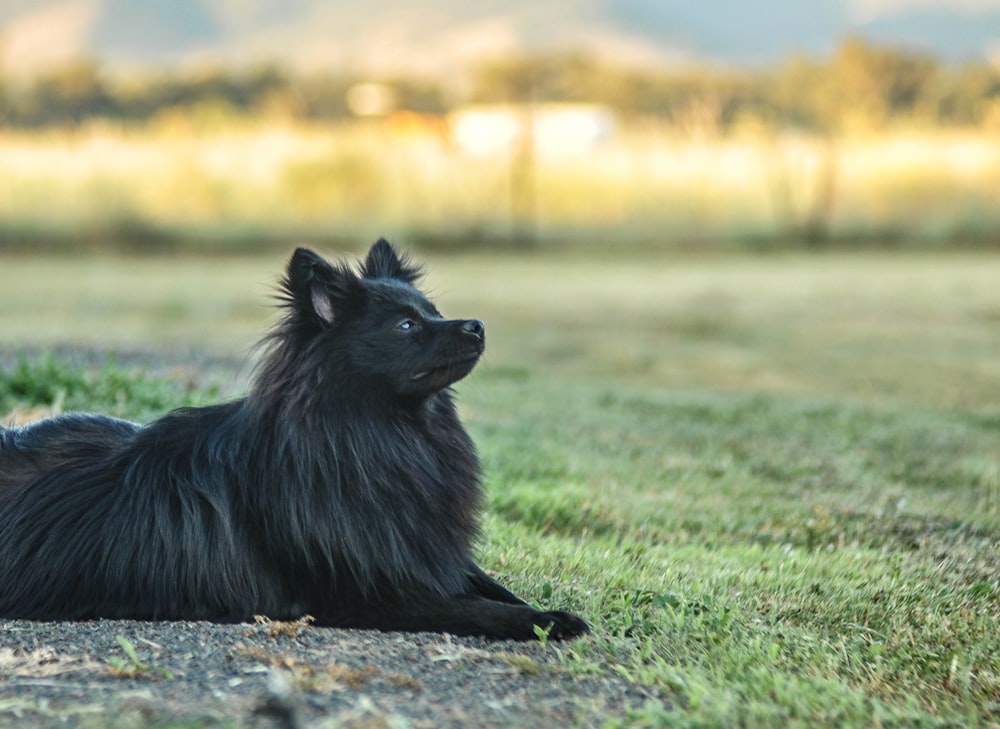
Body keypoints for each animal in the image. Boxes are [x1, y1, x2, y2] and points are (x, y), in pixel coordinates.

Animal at [0, 242, 584, 640]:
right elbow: (472, 607)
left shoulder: (415, 554)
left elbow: (489, 585)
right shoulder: (367, 595)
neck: (379, 435)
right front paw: (547, 620)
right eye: (406, 326)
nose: (477, 325)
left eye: (434, 311)